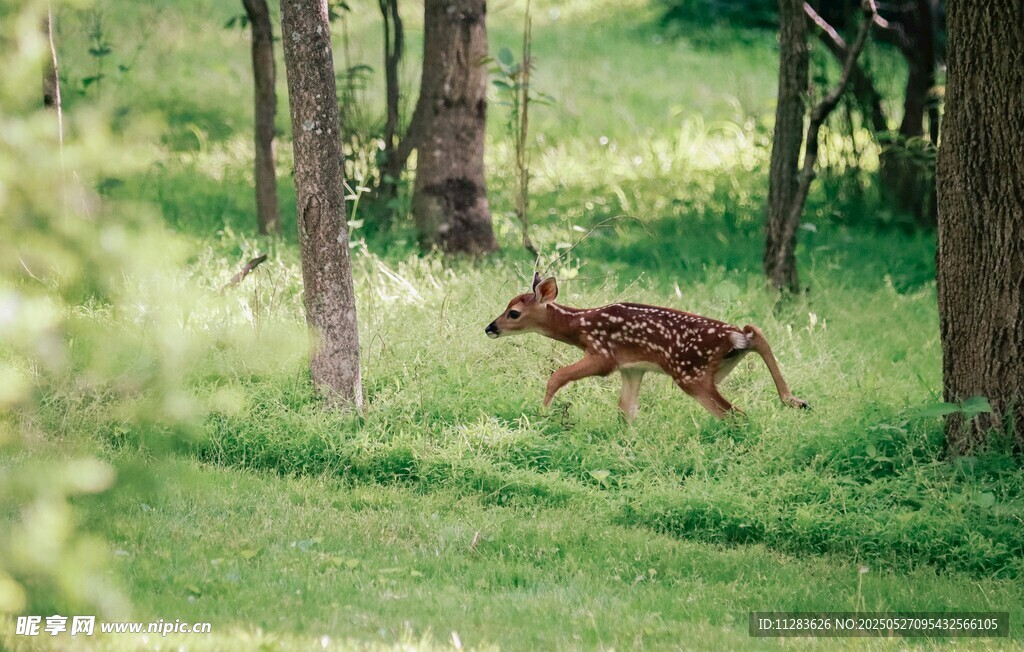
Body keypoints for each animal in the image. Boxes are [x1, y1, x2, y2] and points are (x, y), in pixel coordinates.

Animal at [485, 273, 808, 422]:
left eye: (513, 313)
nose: (490, 328)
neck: (581, 325)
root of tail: (732, 337)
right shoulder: (632, 368)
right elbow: (626, 410)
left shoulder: (603, 355)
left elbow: (557, 375)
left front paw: (542, 413)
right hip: (713, 365)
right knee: (755, 332)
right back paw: (795, 400)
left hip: (691, 373)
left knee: (733, 413)